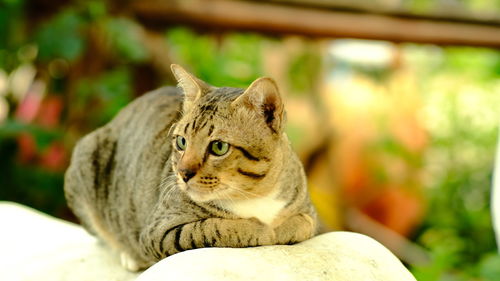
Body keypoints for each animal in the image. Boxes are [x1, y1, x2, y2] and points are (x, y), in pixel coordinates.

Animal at [64, 63, 318, 270]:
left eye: (218, 147)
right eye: (181, 142)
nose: (183, 174)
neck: (254, 195)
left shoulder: (308, 209)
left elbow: (305, 223)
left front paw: (283, 227)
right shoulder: (158, 231)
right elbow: (213, 229)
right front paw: (262, 230)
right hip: (85, 158)